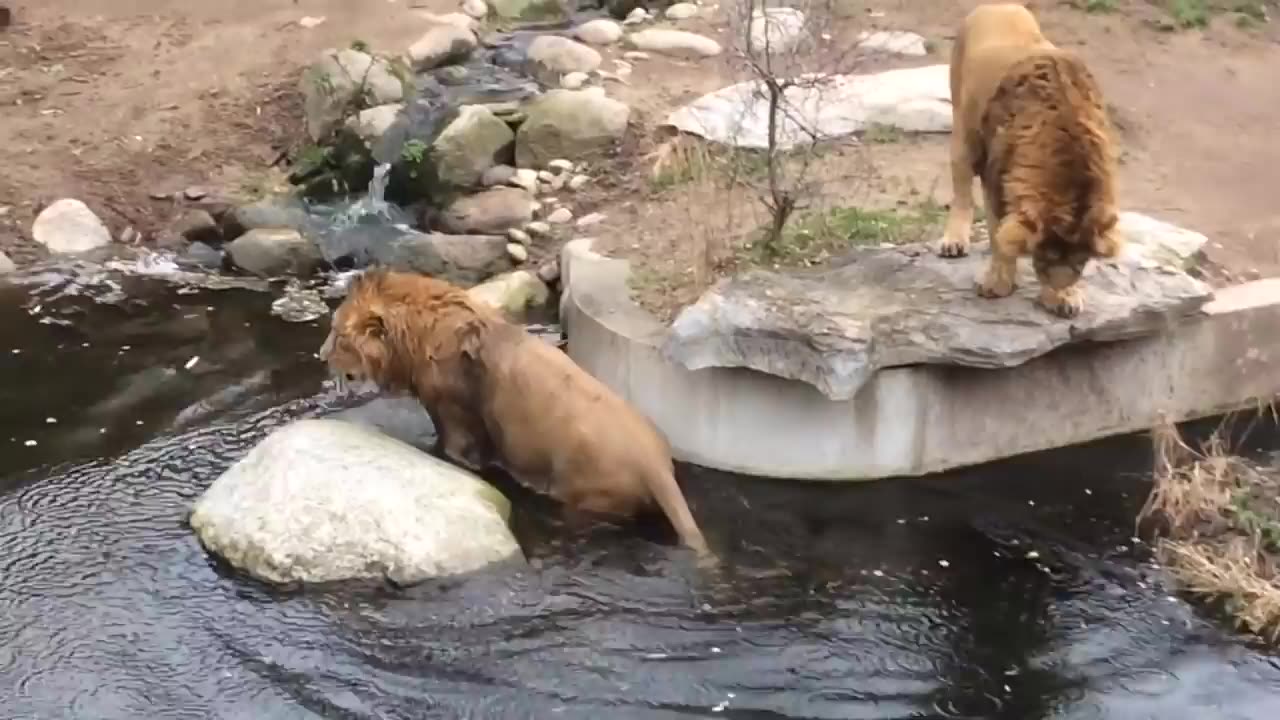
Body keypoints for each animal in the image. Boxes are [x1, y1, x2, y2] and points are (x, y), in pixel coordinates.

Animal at [314, 269, 716, 561]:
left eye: (337, 334)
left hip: (587, 491)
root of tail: (656, 467)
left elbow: (455, 450)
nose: (320, 355)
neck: (416, 336)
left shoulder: (453, 414)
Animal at [936, 2, 1126, 316]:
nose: (1059, 288)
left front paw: (1065, 297)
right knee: (962, 190)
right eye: (1044, 257)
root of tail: (995, 6)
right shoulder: (997, 179)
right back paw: (954, 242)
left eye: (1081, 261)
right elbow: (1000, 235)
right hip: (964, 132)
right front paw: (997, 284)